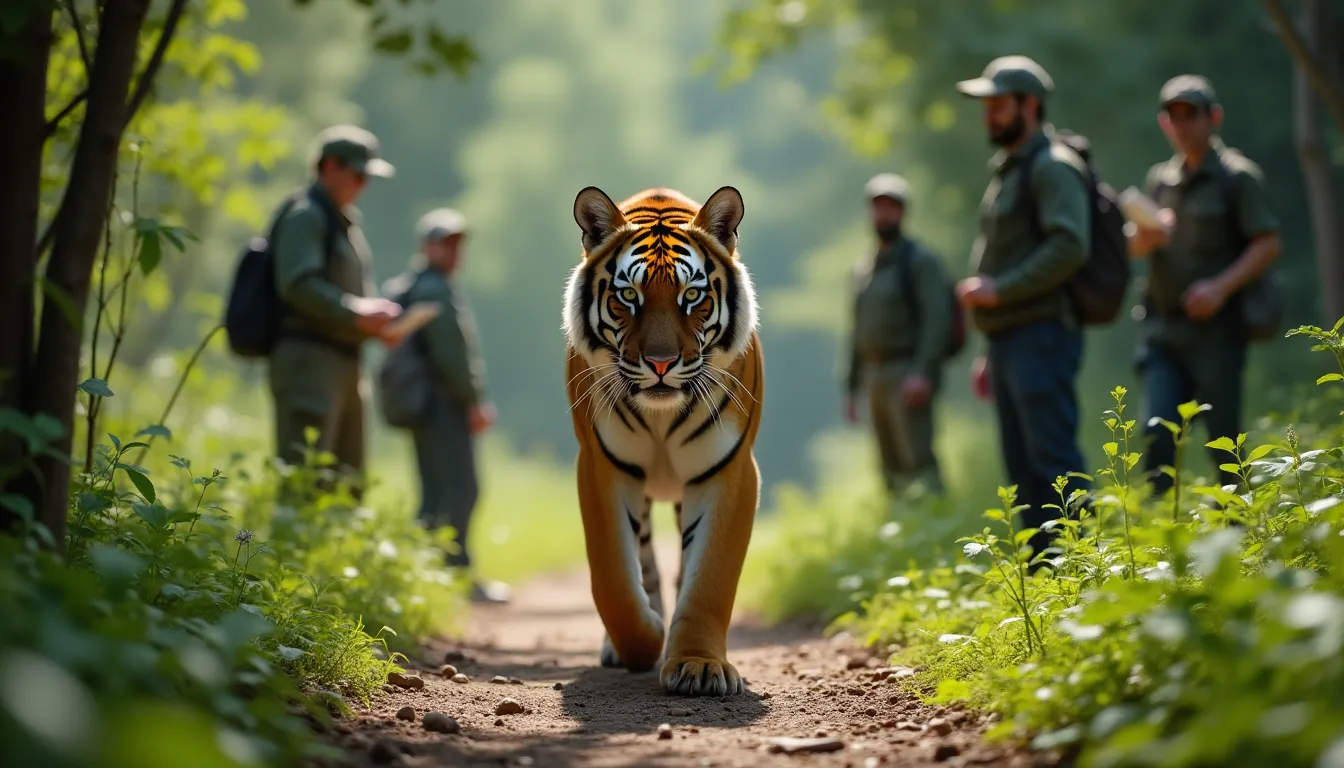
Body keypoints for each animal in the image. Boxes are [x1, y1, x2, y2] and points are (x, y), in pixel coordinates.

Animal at [562, 184, 764, 697]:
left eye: (691, 295)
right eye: (628, 296)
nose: (660, 363)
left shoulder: (728, 471)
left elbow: (709, 578)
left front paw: (698, 665)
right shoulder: (602, 466)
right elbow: (613, 577)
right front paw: (645, 639)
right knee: (645, 562)